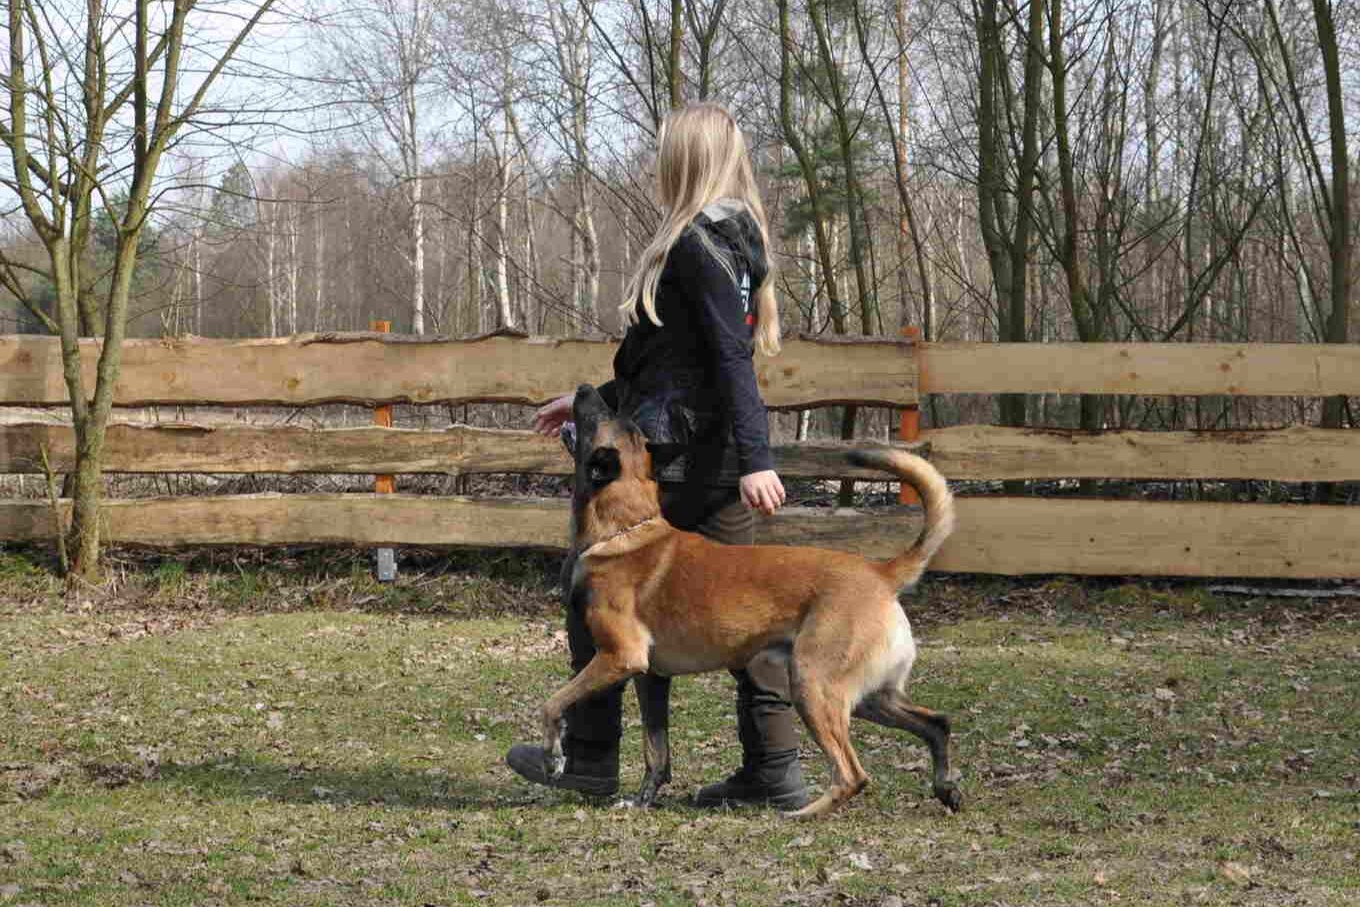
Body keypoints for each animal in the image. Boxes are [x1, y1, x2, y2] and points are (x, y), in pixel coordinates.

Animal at [540, 384, 960, 819]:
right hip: (868, 695)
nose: (583, 389)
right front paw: (642, 800)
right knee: (937, 723)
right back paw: (945, 787)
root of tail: (880, 573)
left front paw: (554, 757)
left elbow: (553, 703)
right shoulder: (650, 678)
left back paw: (801, 815)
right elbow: (656, 752)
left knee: (853, 774)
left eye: (597, 416)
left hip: (811, 685)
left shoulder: (619, 658)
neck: (624, 528)